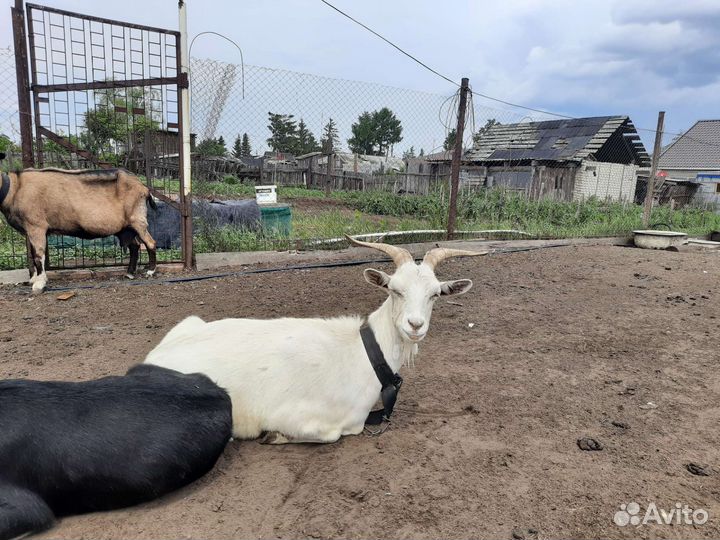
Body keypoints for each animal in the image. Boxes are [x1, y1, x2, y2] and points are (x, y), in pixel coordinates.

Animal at [0, 167, 158, 293]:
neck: (15, 188)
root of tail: (143, 187)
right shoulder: (31, 230)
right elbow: (33, 255)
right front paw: (34, 279)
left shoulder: (36, 226)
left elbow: (38, 256)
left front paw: (39, 284)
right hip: (126, 227)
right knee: (134, 246)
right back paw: (129, 273)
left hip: (137, 219)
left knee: (150, 243)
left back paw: (150, 271)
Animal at [144, 236, 486, 444]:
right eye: (394, 289)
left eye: (435, 294)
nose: (415, 325)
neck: (363, 354)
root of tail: (154, 358)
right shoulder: (298, 415)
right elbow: (330, 434)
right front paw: (274, 436)